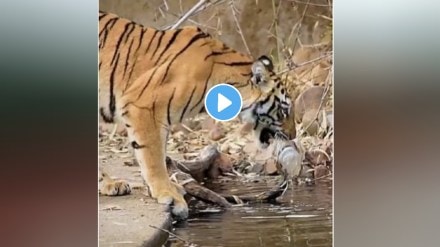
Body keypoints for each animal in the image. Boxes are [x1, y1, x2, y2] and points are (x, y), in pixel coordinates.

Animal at [99, 11, 292, 220]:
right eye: (284, 111)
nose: (292, 135)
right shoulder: (143, 106)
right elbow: (153, 157)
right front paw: (169, 194)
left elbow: (158, 154)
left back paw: (111, 184)